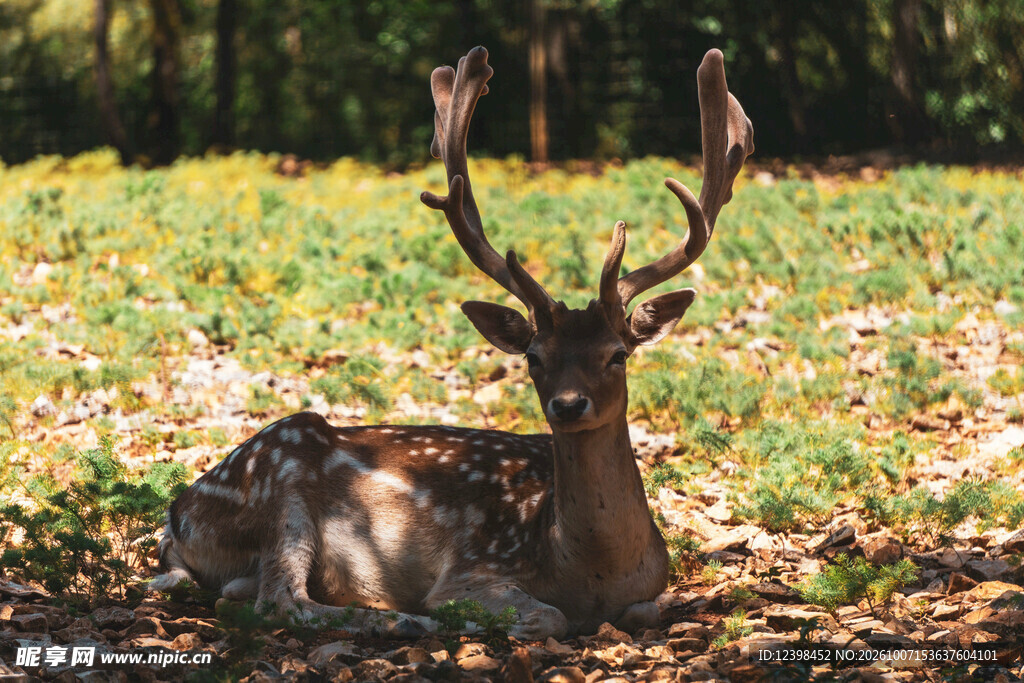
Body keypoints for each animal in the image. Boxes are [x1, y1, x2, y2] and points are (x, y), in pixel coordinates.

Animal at [149, 46, 753, 641]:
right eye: (534, 357)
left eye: (618, 353)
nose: (567, 404)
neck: (587, 568)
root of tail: (178, 515)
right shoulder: (472, 569)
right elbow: (547, 616)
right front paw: (457, 617)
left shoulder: (651, 588)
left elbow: (646, 611)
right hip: (283, 488)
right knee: (282, 600)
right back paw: (406, 619)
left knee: (244, 593)